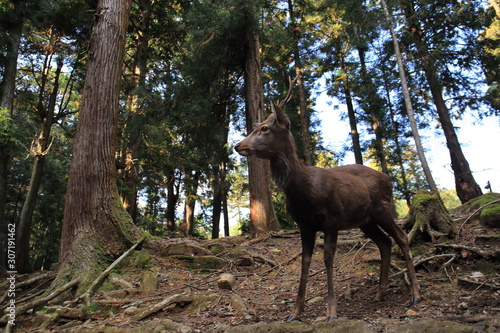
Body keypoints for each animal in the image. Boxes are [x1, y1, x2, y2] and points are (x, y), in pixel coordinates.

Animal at [233, 79, 418, 320]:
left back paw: (416, 295)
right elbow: (305, 262)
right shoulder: (304, 225)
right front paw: (295, 312)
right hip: (365, 220)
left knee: (402, 237)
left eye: (264, 128)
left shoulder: (332, 219)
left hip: (383, 208)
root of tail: (389, 179)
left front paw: (331, 311)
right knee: (385, 243)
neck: (303, 191)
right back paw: (379, 294)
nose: (238, 145)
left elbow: (328, 259)